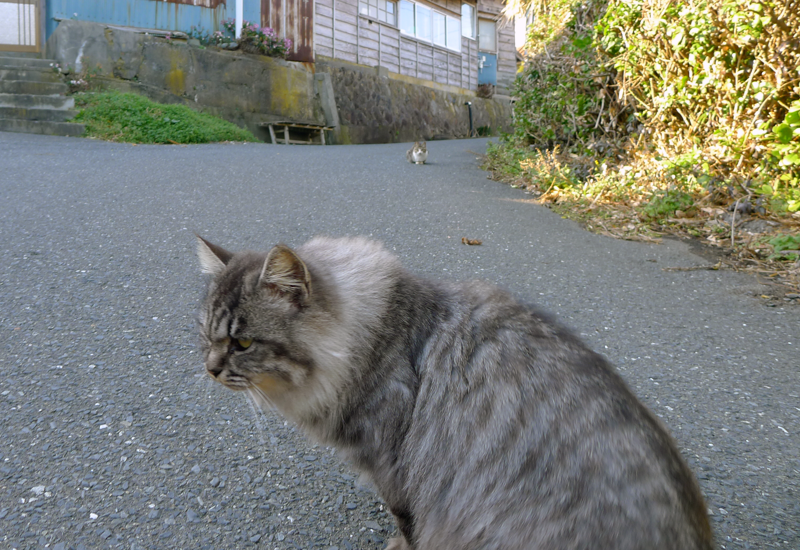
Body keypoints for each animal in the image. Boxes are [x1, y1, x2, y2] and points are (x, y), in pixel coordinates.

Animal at [197, 236, 716, 550]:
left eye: (243, 344)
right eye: (206, 335)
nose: (211, 369)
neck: (379, 332)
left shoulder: (396, 473)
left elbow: (407, 528)